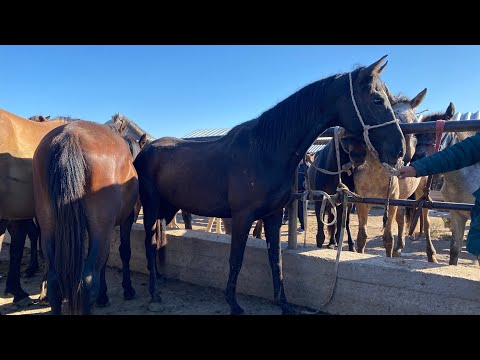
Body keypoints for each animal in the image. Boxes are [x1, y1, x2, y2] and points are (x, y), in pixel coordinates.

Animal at [31, 116, 140, 314]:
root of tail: (70, 135)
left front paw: (103, 297)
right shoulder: (126, 219)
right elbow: (124, 251)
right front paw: (127, 289)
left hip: (48, 226)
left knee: (54, 282)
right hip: (100, 228)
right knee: (88, 281)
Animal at [132, 54, 404, 314]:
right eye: (377, 100)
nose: (399, 149)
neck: (266, 151)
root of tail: (145, 150)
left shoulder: (273, 216)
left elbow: (277, 260)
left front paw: (284, 304)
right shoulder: (242, 217)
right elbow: (236, 259)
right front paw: (233, 304)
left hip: (168, 208)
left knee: (158, 240)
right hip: (151, 206)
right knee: (149, 243)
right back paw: (154, 295)